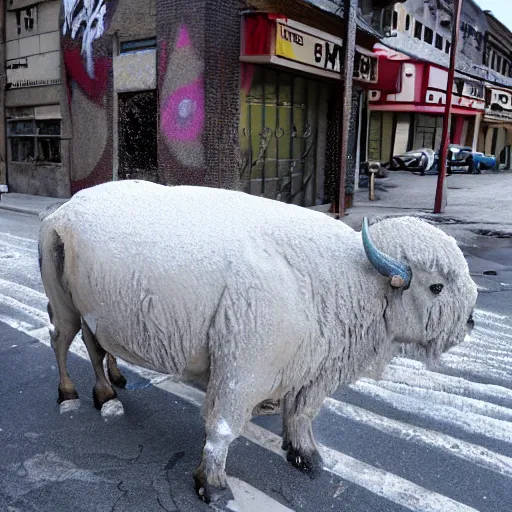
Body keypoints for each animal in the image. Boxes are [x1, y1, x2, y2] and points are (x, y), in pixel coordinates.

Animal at [38, 180, 478, 504]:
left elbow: (301, 416)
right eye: (437, 286)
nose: (471, 321)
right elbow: (223, 428)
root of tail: (62, 212)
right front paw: (212, 485)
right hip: (66, 306)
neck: (346, 276)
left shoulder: (311, 372)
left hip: (96, 313)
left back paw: (109, 390)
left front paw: (307, 457)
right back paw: (72, 394)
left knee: (97, 347)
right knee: (61, 341)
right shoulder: (241, 372)